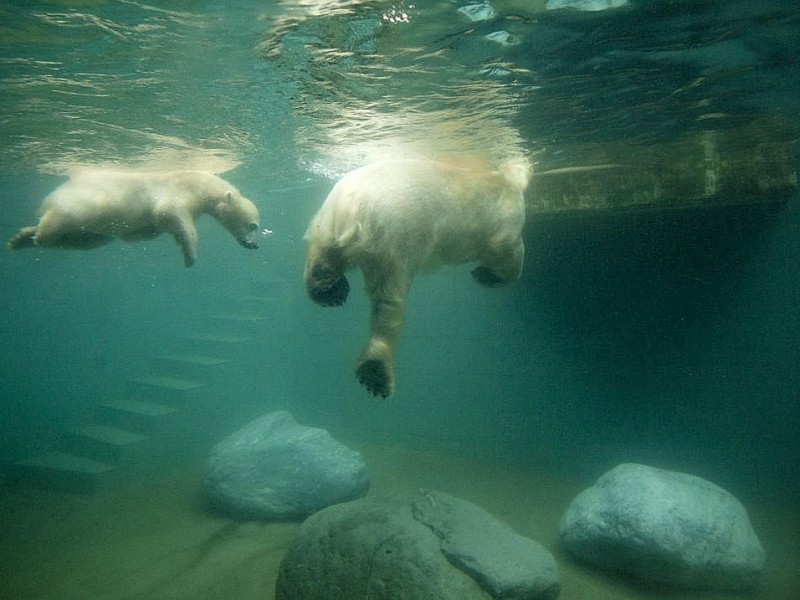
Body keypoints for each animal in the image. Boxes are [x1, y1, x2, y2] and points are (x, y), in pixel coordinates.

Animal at [7, 166, 262, 264]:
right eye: (253, 225)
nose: (254, 245)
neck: (200, 184)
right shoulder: (178, 191)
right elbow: (170, 213)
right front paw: (190, 254)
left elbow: (147, 229)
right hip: (83, 204)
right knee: (59, 225)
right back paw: (37, 234)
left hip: (90, 229)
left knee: (87, 240)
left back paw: (21, 238)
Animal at [304, 157, 528, 396]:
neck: (506, 182)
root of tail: (354, 206)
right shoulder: (504, 221)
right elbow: (508, 253)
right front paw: (487, 275)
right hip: (396, 235)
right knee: (390, 301)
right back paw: (376, 371)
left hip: (328, 219)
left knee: (322, 253)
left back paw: (329, 291)